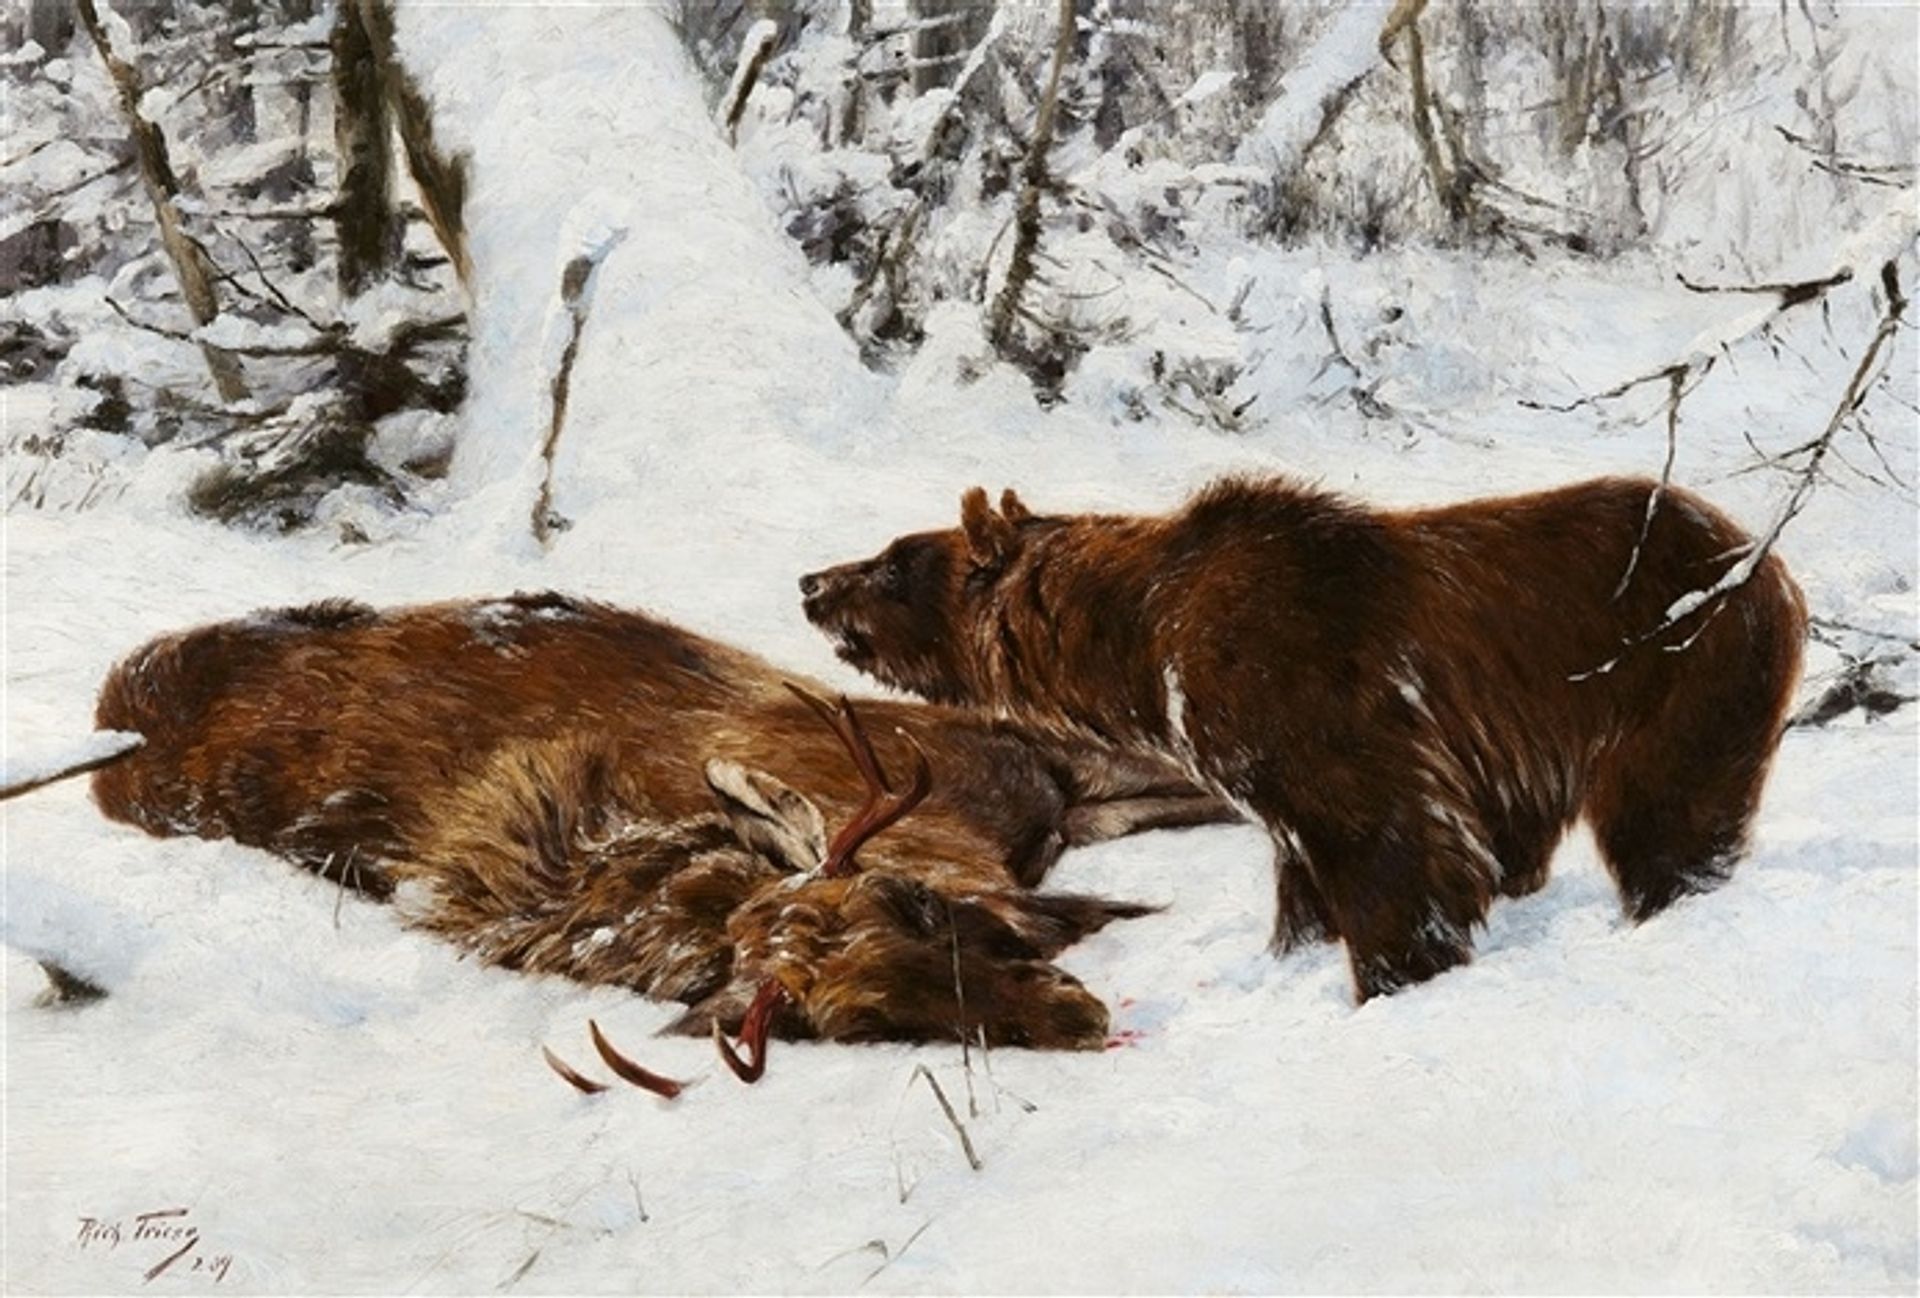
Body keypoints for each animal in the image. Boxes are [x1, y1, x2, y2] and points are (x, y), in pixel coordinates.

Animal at [799, 475, 1807, 1001]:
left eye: (892, 564)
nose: (811, 581)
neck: (1144, 647)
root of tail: (1762, 558)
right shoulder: (1261, 771)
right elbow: (1301, 872)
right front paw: (1294, 954)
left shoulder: (1316, 693)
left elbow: (1395, 848)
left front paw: (1396, 977)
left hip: (1677, 675)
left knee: (1666, 819)